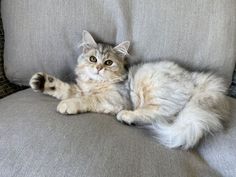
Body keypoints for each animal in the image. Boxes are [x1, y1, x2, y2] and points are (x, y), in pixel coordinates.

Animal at [29, 30, 229, 149]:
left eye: (108, 62)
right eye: (93, 59)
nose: (98, 68)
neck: (96, 84)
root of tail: (195, 78)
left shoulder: (115, 98)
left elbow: (85, 99)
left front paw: (68, 105)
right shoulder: (81, 88)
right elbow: (65, 88)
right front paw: (40, 81)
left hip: (153, 87)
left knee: (160, 115)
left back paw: (128, 117)